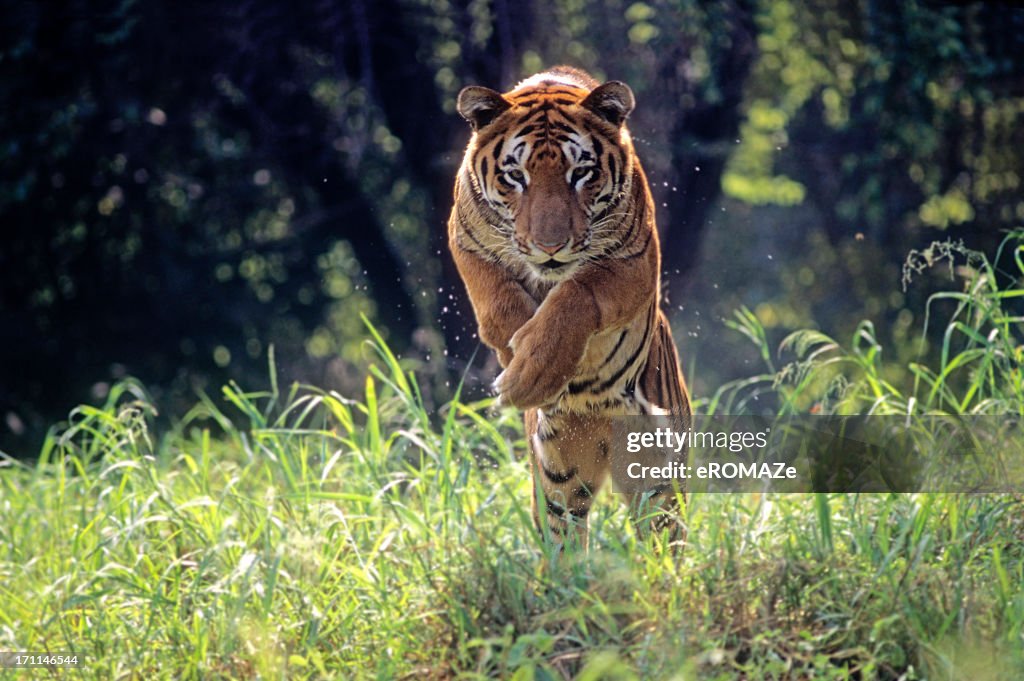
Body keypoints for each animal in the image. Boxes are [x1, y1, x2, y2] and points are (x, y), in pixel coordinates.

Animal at [446, 66, 688, 548]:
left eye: (581, 173)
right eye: (515, 176)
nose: (550, 246)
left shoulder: (633, 262)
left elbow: (576, 295)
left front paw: (533, 373)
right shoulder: (464, 239)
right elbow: (498, 302)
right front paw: (519, 369)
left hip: (657, 473)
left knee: (662, 535)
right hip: (561, 474)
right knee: (564, 536)